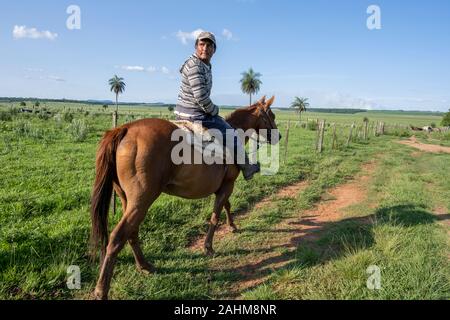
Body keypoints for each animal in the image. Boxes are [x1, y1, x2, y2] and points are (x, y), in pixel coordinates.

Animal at [89, 95, 280, 300]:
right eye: (272, 116)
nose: (278, 136)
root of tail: (125, 129)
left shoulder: (222, 187)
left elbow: (226, 206)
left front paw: (232, 226)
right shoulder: (228, 185)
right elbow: (216, 215)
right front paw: (208, 247)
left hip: (128, 200)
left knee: (131, 232)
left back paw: (144, 266)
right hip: (141, 201)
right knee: (118, 236)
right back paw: (102, 290)